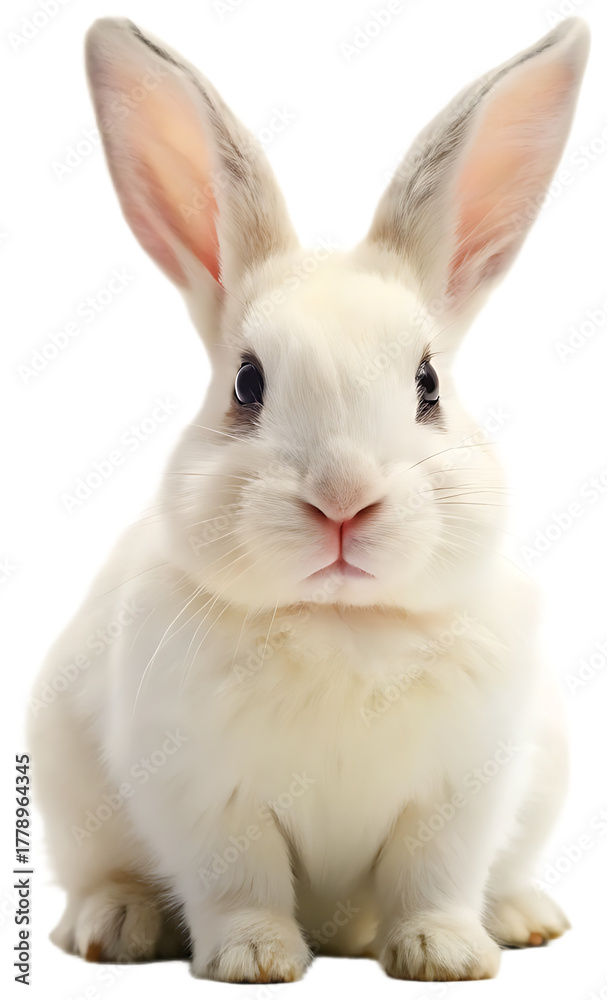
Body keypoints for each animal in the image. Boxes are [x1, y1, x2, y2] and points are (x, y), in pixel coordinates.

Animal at [27, 16, 589, 983]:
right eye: (247, 384)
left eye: (427, 384)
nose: (342, 501)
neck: (342, 626)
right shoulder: (205, 796)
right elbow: (240, 881)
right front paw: (253, 960)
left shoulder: (458, 794)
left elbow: (432, 875)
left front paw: (445, 955)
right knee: (101, 875)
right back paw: (116, 925)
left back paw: (523, 917)